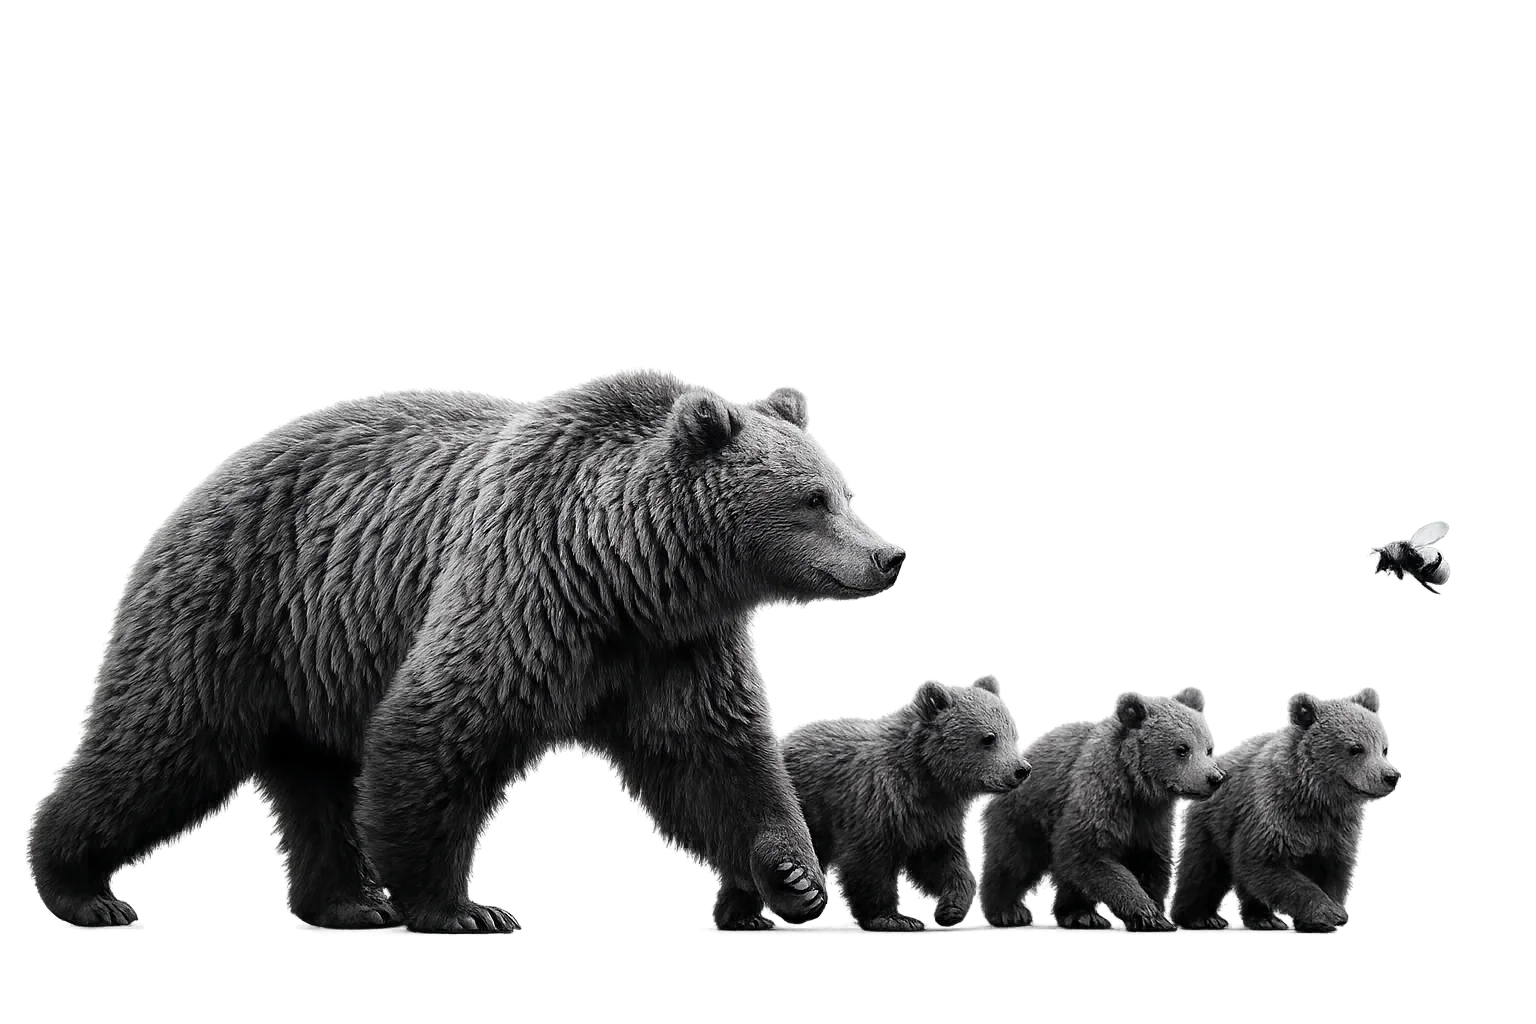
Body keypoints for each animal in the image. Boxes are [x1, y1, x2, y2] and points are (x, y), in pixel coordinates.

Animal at [32, 373, 909, 933]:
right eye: (812, 498)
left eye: (844, 489)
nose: (889, 556)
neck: (625, 569)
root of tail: (212, 475)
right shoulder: (523, 585)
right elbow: (443, 722)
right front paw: (459, 907)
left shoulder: (671, 650)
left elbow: (713, 753)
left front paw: (793, 875)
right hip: (236, 609)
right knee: (163, 744)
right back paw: (79, 886)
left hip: (314, 657)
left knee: (315, 783)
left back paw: (347, 901)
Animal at [714, 677, 1031, 932]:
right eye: (988, 738)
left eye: (1011, 732)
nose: (1022, 769)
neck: (925, 778)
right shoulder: (876, 805)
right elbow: (868, 865)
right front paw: (893, 918)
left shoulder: (933, 819)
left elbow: (942, 862)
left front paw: (952, 907)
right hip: (798, 809)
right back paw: (754, 910)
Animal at [980, 689, 1225, 932]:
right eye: (1182, 749)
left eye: (1209, 748)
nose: (1215, 777)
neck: (1136, 786)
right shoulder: (1099, 798)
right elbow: (1089, 853)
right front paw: (1147, 913)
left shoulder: (1148, 821)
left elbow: (1149, 862)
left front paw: (1167, 912)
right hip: (1027, 813)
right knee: (1015, 860)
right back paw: (1008, 911)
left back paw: (1080, 914)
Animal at [1171, 690, 1400, 934]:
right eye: (1356, 748)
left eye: (1384, 748)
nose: (1390, 776)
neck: (1317, 797)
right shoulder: (1273, 815)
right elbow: (1263, 862)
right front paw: (1329, 914)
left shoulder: (1337, 829)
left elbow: (1332, 870)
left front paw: (1321, 916)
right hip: (1216, 819)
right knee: (1205, 869)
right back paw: (1202, 917)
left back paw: (1263, 919)